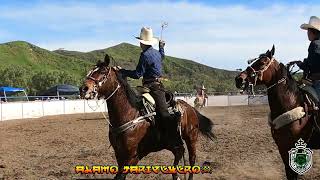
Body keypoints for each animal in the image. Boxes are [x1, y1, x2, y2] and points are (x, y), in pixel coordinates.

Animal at [79, 58, 215, 180]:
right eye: (91, 71)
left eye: (103, 71)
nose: (83, 89)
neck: (130, 114)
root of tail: (190, 107)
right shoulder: (119, 154)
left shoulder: (132, 156)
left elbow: (120, 176)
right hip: (172, 143)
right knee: (179, 152)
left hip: (191, 137)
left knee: (192, 158)